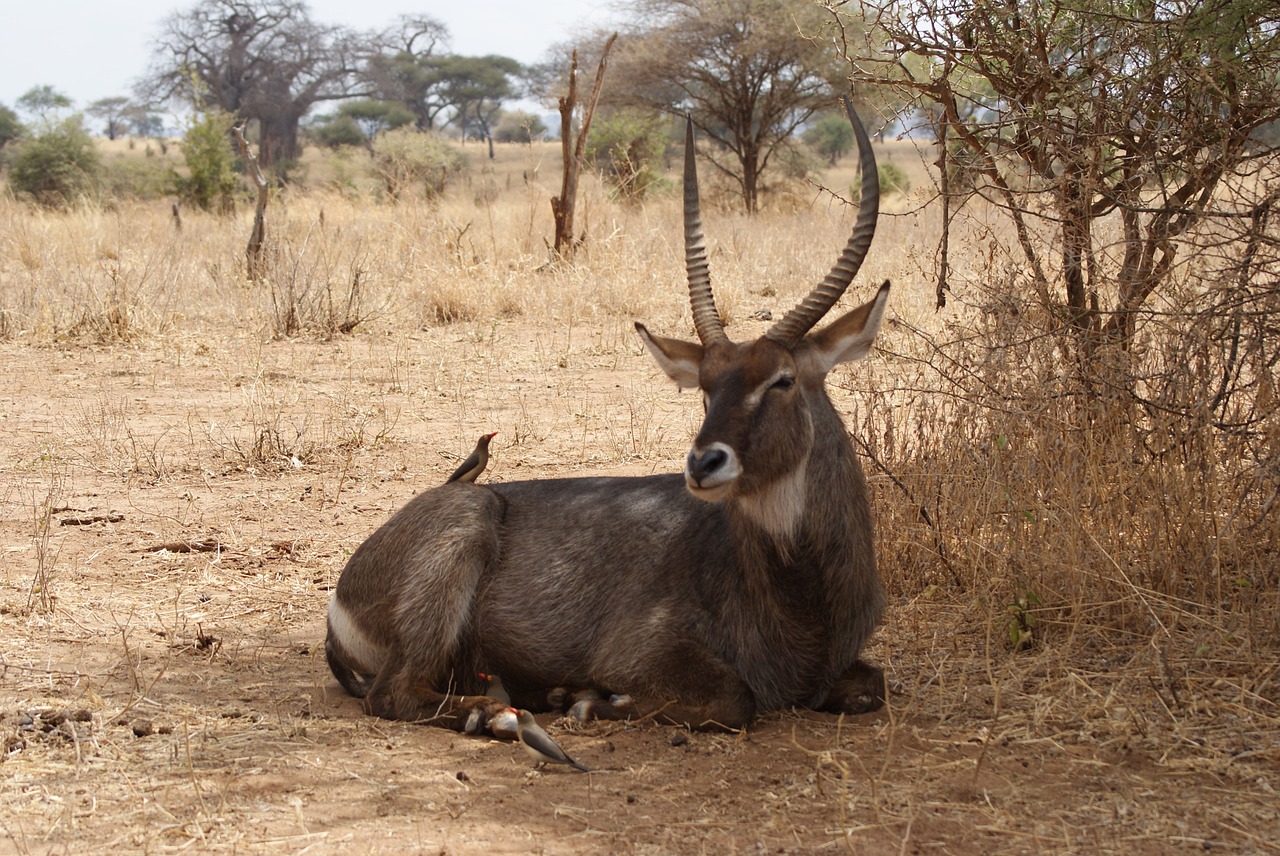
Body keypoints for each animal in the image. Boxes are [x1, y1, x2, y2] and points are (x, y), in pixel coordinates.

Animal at [327, 103, 890, 731]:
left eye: (783, 380)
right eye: (705, 389)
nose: (703, 464)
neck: (806, 600)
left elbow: (872, 685)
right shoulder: (639, 652)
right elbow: (735, 700)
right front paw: (586, 699)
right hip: (464, 527)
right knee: (393, 693)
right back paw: (499, 713)